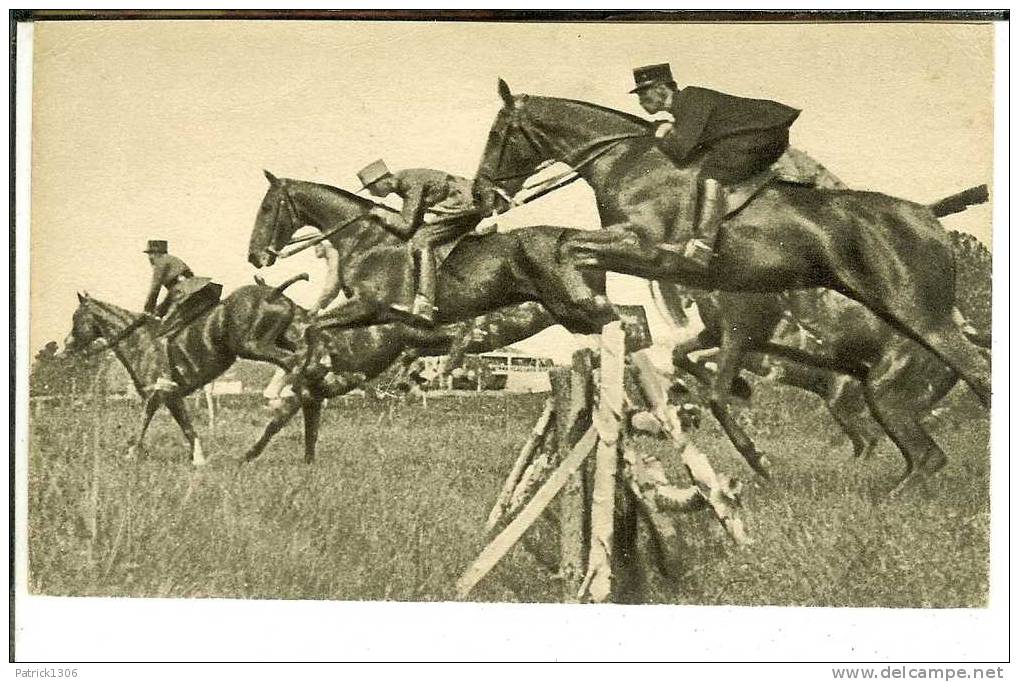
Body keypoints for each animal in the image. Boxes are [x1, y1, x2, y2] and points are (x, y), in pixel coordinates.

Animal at [63, 277, 319, 462]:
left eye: (76, 318)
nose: (66, 347)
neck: (139, 340)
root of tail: (273, 292)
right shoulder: (169, 396)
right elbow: (182, 425)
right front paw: (197, 458)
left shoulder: (160, 393)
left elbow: (152, 422)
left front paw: (132, 453)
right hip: (280, 340)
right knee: (305, 365)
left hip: (253, 346)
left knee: (295, 364)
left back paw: (279, 404)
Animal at [472, 82, 990, 491]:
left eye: (498, 135)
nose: (480, 195)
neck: (629, 163)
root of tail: (929, 222)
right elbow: (576, 254)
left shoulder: (649, 249)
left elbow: (570, 247)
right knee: (927, 439)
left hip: (915, 323)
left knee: (968, 385)